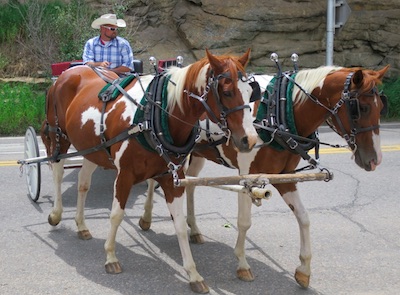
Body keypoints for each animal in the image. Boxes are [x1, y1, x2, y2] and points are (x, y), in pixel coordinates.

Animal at [39, 48, 260, 294]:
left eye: (250, 92)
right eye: (228, 92)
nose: (250, 140)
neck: (153, 116)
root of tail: (74, 70)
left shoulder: (171, 177)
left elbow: (180, 224)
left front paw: (193, 274)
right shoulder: (124, 175)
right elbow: (116, 215)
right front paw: (111, 257)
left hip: (92, 148)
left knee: (83, 182)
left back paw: (81, 225)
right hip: (59, 136)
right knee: (57, 172)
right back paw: (56, 213)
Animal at [141, 64, 390, 290]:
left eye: (381, 107)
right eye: (361, 108)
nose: (375, 160)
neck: (276, 115)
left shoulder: (285, 177)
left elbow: (304, 218)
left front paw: (304, 270)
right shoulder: (246, 176)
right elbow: (244, 222)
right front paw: (242, 264)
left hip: (197, 154)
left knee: (191, 185)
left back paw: (193, 229)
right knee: (155, 179)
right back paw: (146, 218)